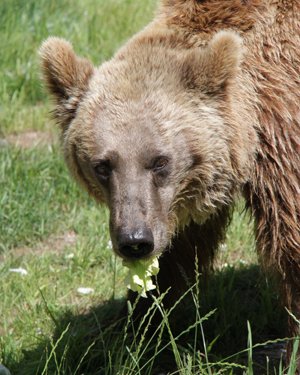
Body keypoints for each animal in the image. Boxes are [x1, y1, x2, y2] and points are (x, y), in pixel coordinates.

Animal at [38, 0, 298, 366]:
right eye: (103, 165)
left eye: (160, 161)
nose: (134, 241)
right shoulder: (173, 203)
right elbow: (178, 250)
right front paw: (139, 329)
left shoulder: (281, 131)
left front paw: (286, 351)